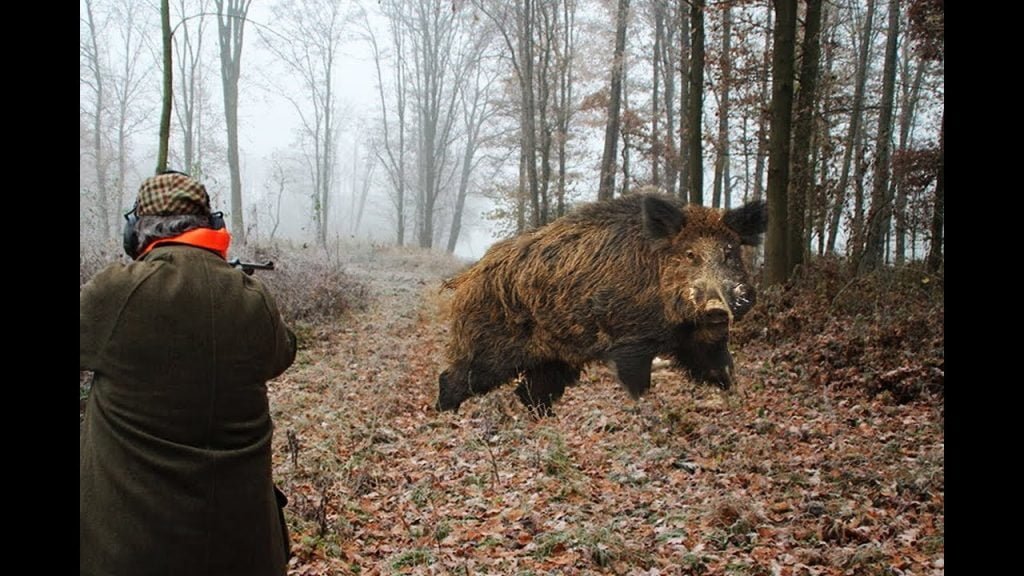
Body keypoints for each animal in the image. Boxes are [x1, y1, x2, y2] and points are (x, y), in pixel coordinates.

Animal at [436, 192, 768, 416]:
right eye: (689, 254)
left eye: (730, 252)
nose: (717, 307)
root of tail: (468, 277)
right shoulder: (630, 341)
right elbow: (637, 383)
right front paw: (642, 409)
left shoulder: (703, 340)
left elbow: (722, 369)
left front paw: (735, 397)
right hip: (489, 350)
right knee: (453, 378)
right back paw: (446, 417)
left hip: (554, 359)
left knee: (529, 392)